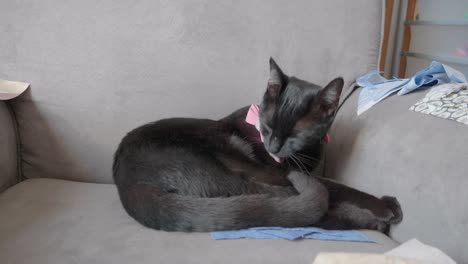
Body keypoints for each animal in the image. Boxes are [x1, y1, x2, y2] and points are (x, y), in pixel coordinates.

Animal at [113, 58, 402, 233]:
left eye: (296, 133)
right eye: (268, 125)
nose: (272, 147)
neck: (305, 153)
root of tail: (128, 183)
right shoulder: (279, 170)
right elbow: (337, 186)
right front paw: (382, 206)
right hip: (233, 163)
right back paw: (374, 219)